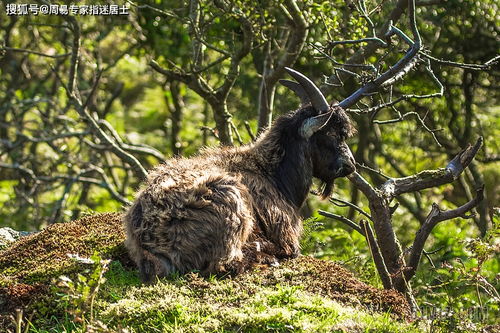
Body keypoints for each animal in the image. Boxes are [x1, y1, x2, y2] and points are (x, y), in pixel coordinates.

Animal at [127, 68, 358, 282]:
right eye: (331, 133)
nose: (351, 164)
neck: (271, 172)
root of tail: (152, 237)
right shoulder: (283, 230)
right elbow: (291, 251)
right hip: (231, 201)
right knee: (224, 264)